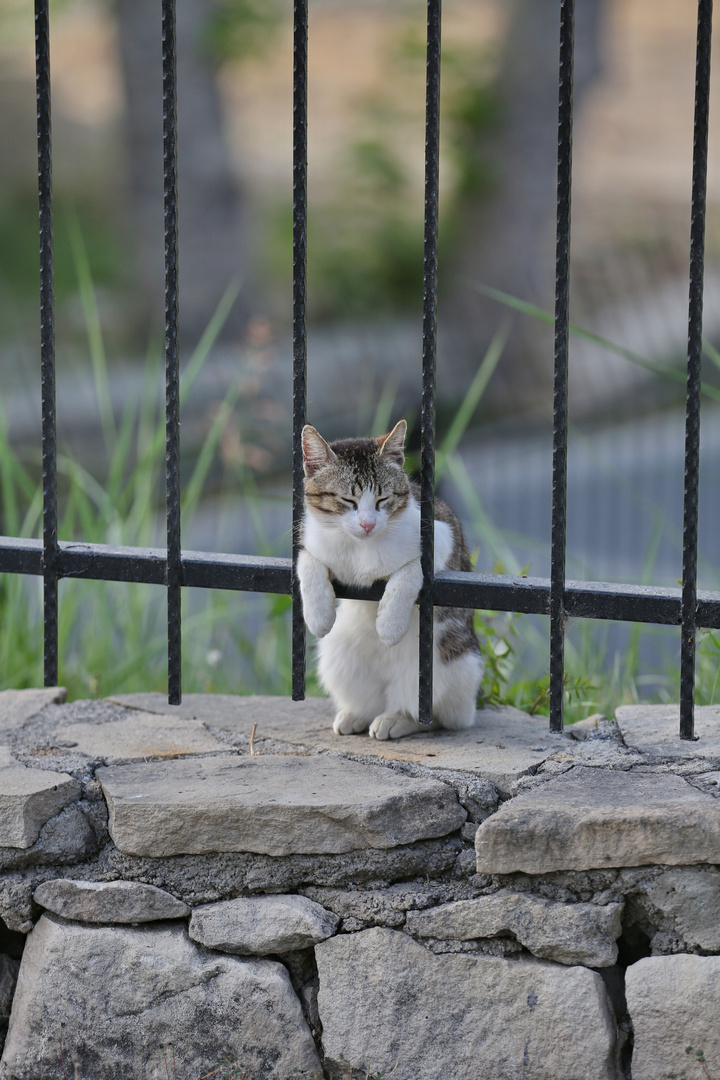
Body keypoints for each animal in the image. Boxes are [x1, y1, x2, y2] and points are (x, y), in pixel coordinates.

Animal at [297, 416, 483, 738]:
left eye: (383, 498)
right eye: (347, 500)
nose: (368, 524)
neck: (360, 546)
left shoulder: (441, 535)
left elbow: (412, 570)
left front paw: (389, 625)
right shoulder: (313, 540)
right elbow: (307, 562)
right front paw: (319, 615)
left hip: (446, 666)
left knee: (434, 713)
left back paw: (398, 719)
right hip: (337, 655)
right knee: (368, 699)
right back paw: (356, 714)